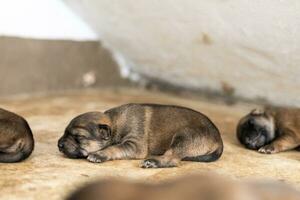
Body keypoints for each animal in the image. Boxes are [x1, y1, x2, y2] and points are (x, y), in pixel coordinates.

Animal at [58, 103, 223, 167]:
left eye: (79, 137)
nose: (59, 144)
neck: (115, 123)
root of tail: (218, 138)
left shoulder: (134, 145)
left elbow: (114, 148)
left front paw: (99, 154)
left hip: (184, 136)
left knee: (173, 158)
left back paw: (153, 162)